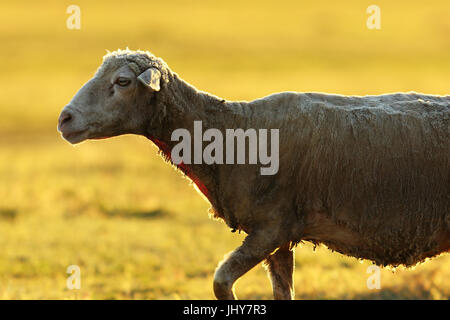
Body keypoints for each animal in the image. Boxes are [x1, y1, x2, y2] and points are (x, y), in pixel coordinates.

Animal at [57, 48, 450, 298]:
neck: (229, 130)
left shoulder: (271, 228)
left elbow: (220, 282)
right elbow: (281, 292)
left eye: (122, 81)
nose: (65, 119)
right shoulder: (281, 238)